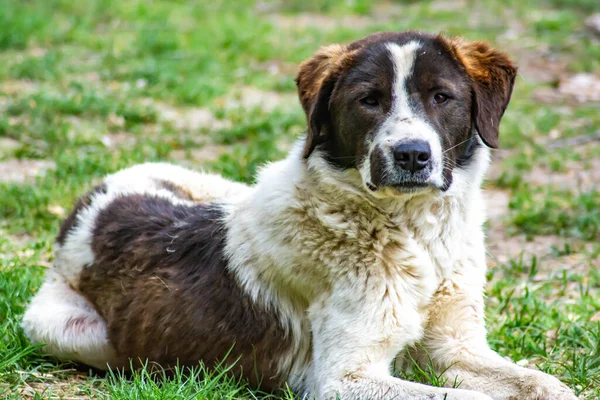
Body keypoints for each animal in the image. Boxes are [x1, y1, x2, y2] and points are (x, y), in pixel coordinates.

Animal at [22, 32, 576, 400]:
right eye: (368, 100)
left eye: (442, 97)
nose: (412, 154)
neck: (415, 234)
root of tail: (85, 208)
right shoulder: (344, 379)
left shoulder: (455, 348)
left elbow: (544, 385)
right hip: (65, 331)